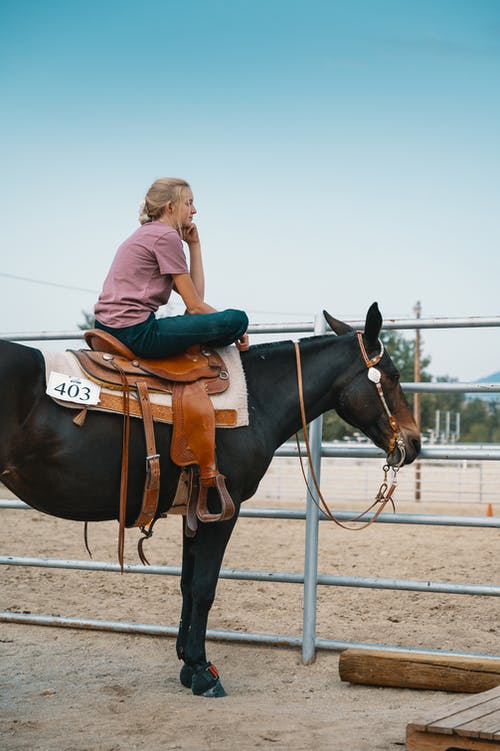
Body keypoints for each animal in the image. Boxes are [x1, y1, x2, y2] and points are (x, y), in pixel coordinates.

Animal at [1, 302, 420, 696]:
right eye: (394, 376)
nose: (413, 443)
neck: (257, 398)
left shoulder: (194, 510)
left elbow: (188, 585)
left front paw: (187, 664)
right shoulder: (223, 507)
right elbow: (204, 587)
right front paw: (203, 672)